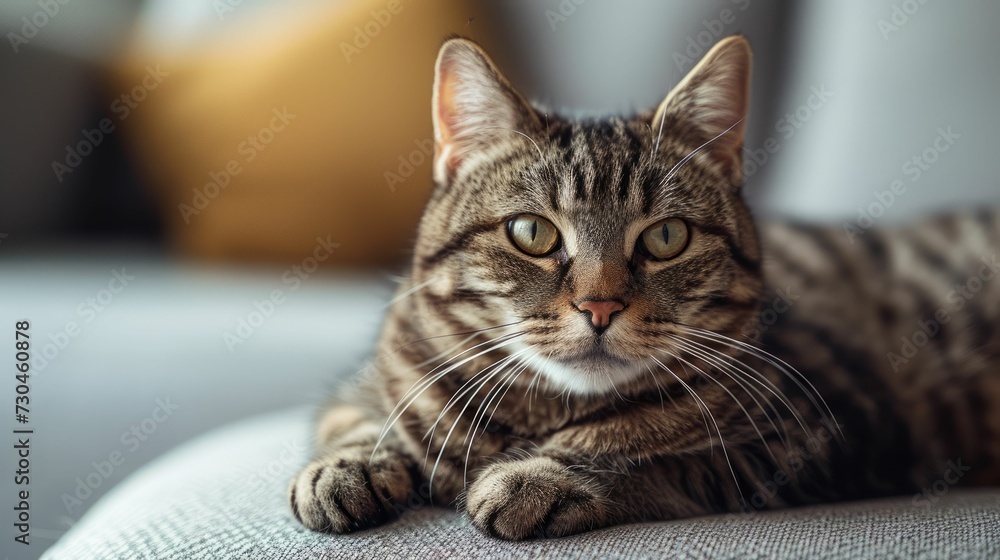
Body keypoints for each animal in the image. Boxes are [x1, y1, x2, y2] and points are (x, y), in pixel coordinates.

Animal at [286, 34, 996, 540]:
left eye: (666, 237)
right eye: (531, 232)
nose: (600, 305)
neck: (541, 414)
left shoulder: (829, 428)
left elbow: (654, 458)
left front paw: (542, 476)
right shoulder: (368, 383)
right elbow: (356, 421)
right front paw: (345, 468)